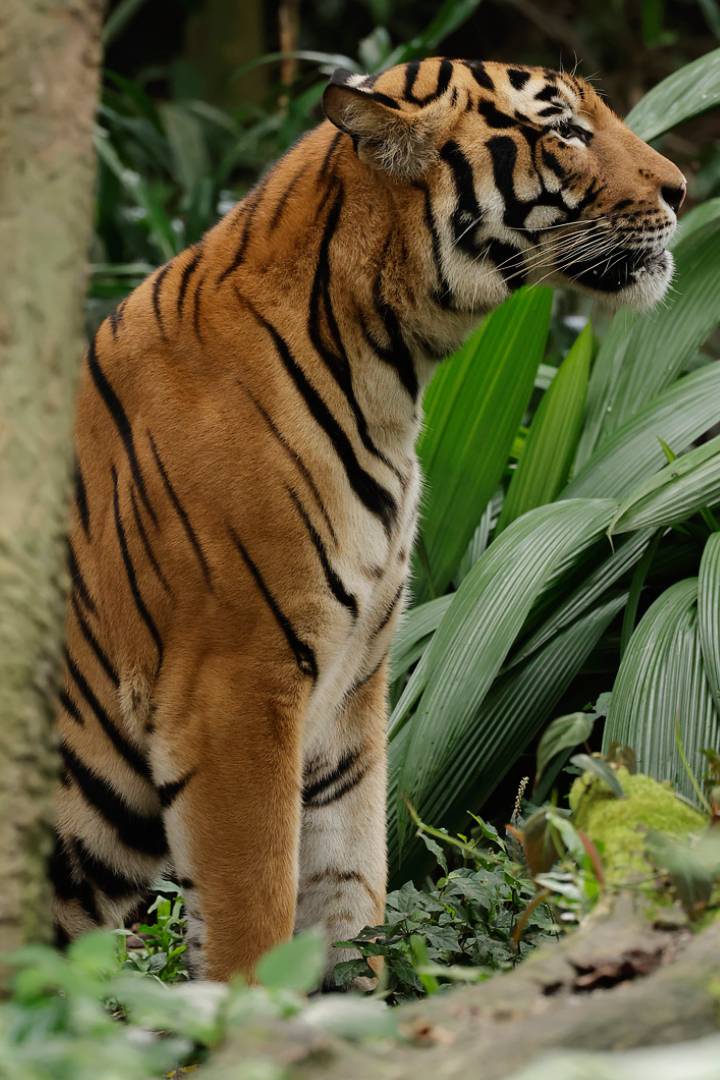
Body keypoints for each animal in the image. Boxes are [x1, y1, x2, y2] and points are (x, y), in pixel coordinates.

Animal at [51, 56, 685, 984]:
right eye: (563, 128)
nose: (683, 188)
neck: (391, 373)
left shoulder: (350, 704)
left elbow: (351, 900)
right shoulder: (235, 695)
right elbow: (256, 924)